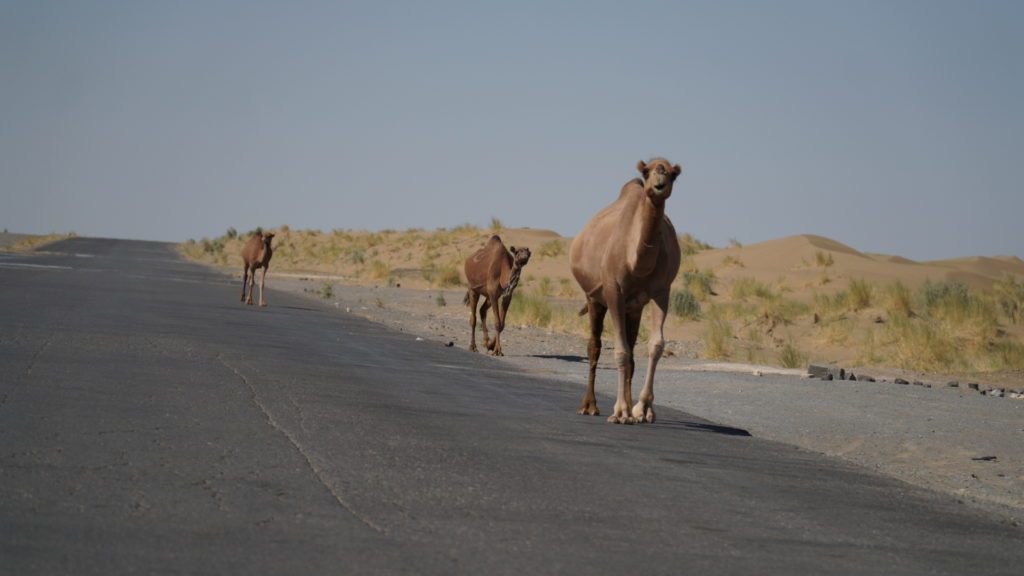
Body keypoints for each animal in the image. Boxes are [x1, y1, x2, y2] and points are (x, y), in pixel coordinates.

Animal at [570, 158, 682, 424]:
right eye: (647, 171)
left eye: (672, 174)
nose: (659, 185)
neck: (637, 262)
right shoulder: (613, 290)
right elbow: (619, 351)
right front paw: (620, 411)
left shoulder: (661, 292)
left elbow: (655, 345)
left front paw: (643, 409)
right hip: (594, 299)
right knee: (595, 346)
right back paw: (589, 406)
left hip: (634, 308)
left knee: (631, 353)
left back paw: (630, 408)